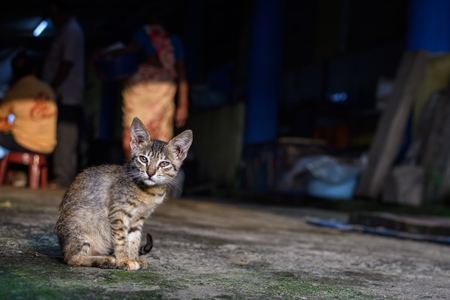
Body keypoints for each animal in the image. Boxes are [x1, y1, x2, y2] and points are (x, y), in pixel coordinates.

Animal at [54, 118, 192, 272]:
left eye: (164, 163)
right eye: (143, 159)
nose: (150, 173)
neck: (149, 192)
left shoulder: (138, 220)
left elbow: (134, 239)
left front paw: (133, 258)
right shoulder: (118, 213)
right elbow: (121, 239)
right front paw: (124, 260)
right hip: (80, 228)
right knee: (72, 258)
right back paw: (104, 260)